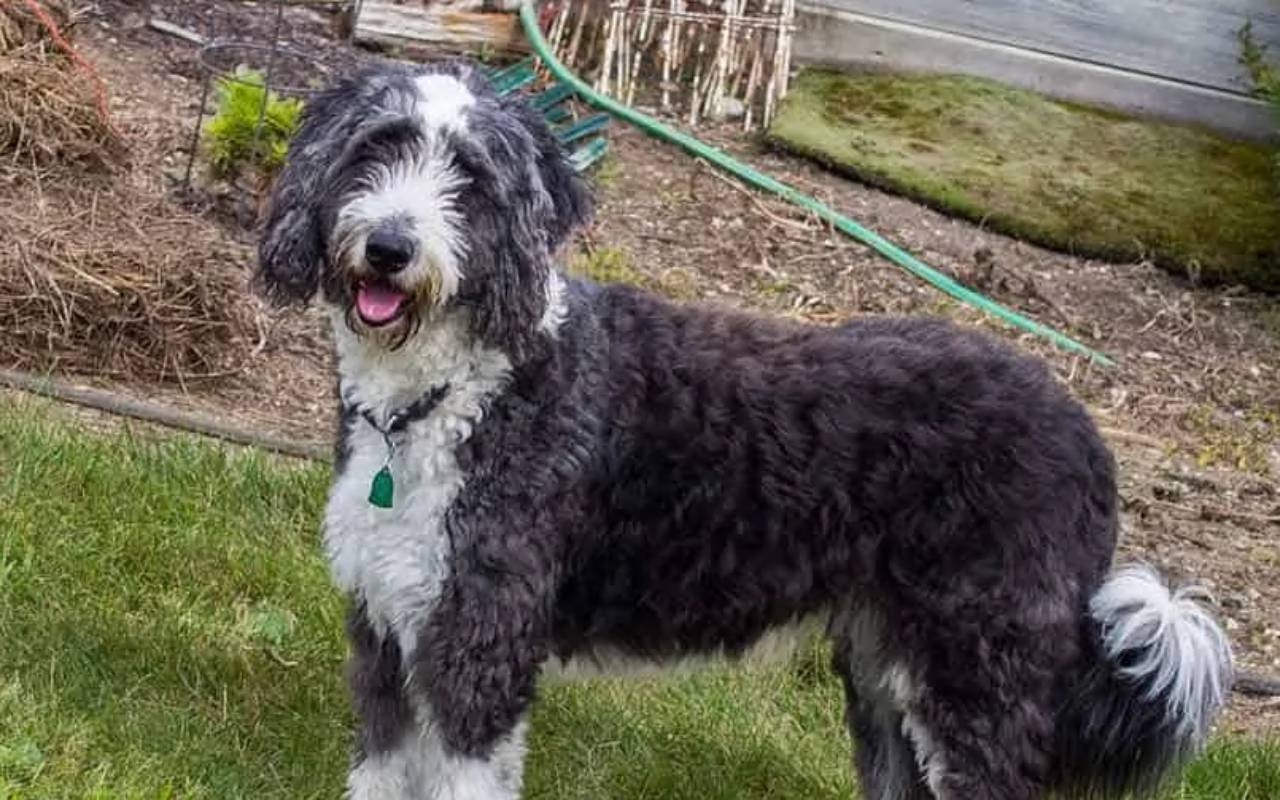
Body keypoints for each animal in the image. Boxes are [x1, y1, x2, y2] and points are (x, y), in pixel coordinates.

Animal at [257, 60, 1228, 798]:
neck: (456, 390)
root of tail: (1086, 433)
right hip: (886, 673)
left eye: (468, 177)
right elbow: (382, 772)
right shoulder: (387, 629)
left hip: (978, 678)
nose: (389, 248)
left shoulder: (478, 643)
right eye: (376, 150)